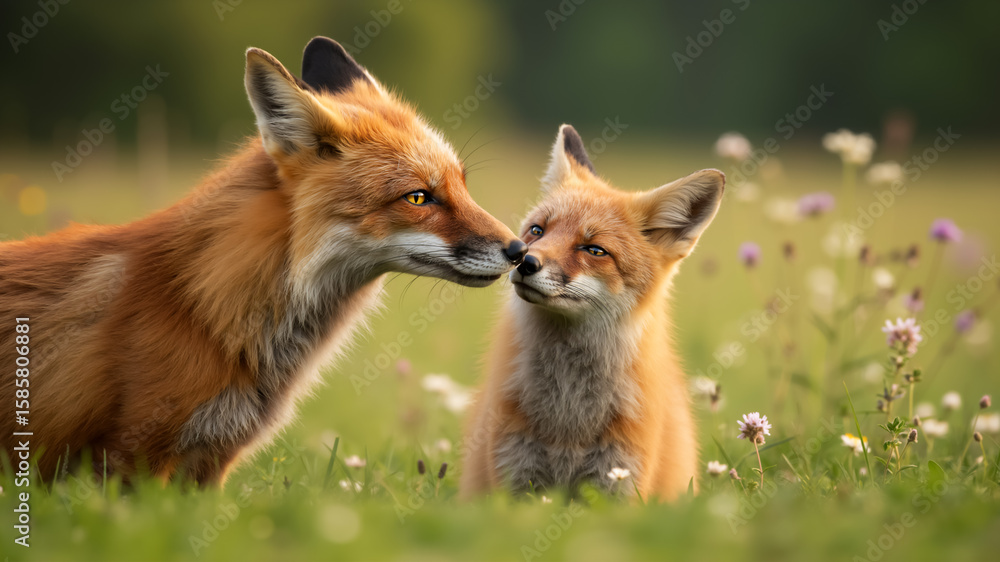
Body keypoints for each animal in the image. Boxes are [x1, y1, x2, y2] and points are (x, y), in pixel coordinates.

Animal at [0, 37, 526, 484]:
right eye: (418, 197)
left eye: (462, 185)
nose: (520, 251)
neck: (198, 303)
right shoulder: (131, 459)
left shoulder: (210, 463)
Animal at [459, 125, 724, 501]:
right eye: (538, 230)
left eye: (595, 250)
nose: (525, 261)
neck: (568, 418)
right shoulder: (515, 478)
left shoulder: (619, 480)